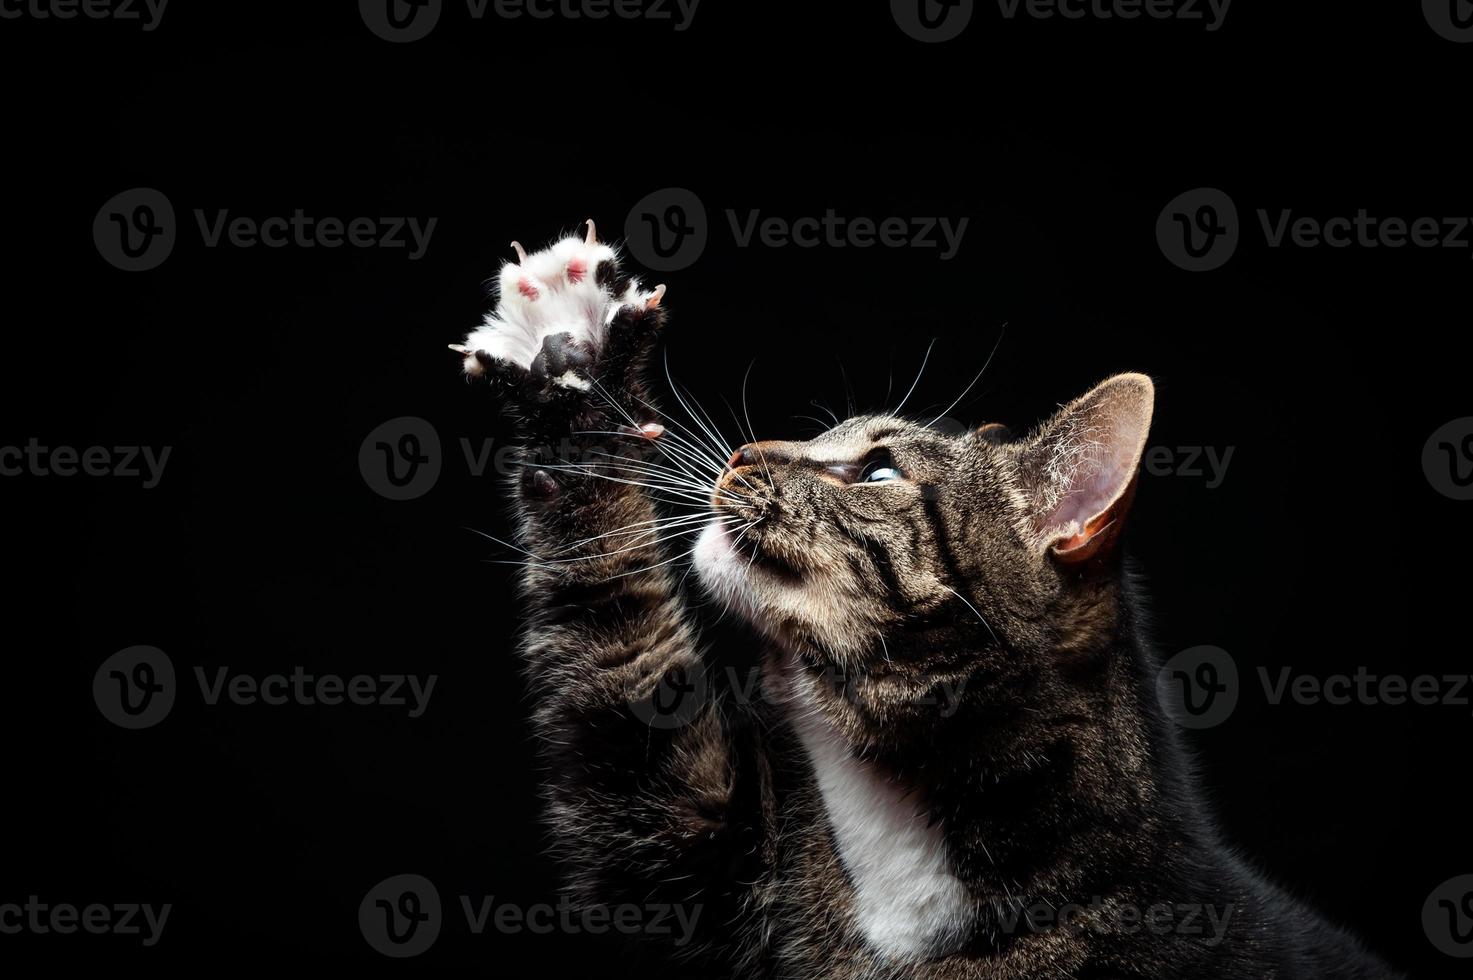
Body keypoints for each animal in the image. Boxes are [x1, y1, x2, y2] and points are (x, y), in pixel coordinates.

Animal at [447, 224, 1402, 978]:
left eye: (877, 472)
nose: (742, 453)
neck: (897, 841)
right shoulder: (690, 846)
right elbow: (614, 652)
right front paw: (571, 361)